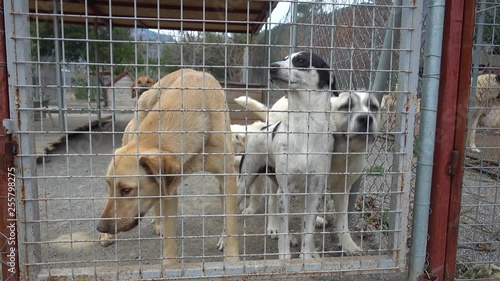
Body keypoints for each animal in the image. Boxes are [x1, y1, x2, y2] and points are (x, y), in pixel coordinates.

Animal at [97, 69, 240, 264]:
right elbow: (170, 240)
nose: (101, 227)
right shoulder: (169, 188)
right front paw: (170, 265)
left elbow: (231, 224)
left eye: (126, 190)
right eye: (110, 186)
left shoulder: (227, 179)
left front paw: (232, 261)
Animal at [237, 52, 336, 258]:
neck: (306, 126)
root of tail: (263, 128)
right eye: (284, 58)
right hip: (244, 182)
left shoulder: (314, 191)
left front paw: (306, 256)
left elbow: (308, 230)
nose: (271, 67)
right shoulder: (285, 189)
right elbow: (284, 228)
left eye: (301, 60)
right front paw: (285, 257)